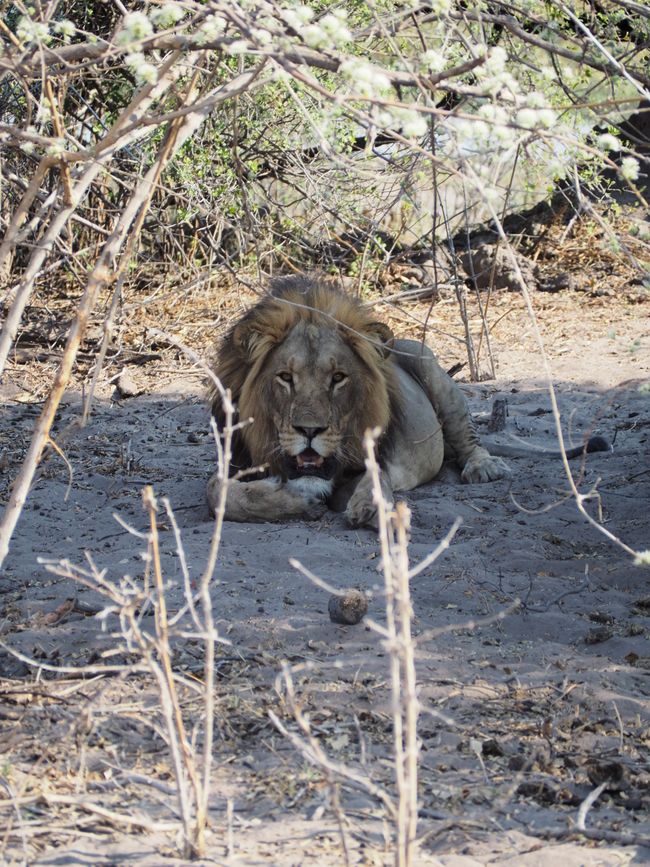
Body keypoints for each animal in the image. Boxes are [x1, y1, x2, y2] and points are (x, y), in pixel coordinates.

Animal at [206, 274, 512, 524]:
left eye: (338, 377)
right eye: (285, 377)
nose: (309, 430)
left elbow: (377, 477)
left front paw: (370, 506)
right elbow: (217, 493)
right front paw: (294, 501)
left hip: (431, 369)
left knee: (468, 435)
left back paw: (484, 467)